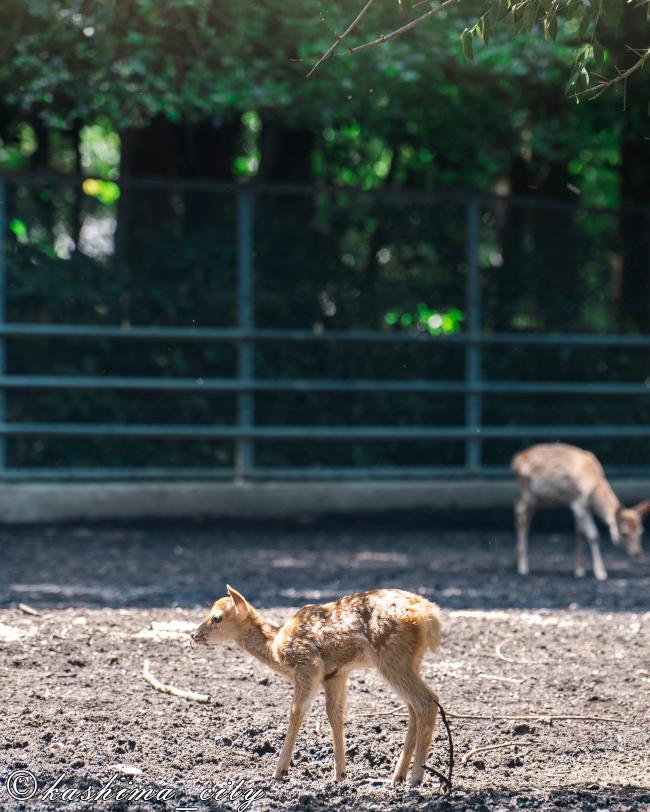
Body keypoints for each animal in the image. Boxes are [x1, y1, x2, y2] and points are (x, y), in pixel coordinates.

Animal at [191, 585, 442, 786]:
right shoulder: (336, 674)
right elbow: (335, 714)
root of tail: (429, 616)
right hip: (409, 660)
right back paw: (397, 776)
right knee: (414, 707)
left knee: (427, 702)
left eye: (217, 618)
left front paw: (279, 771)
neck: (277, 647)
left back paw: (415, 779)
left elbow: (296, 712)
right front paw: (340, 775)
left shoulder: (307, 664)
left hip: (392, 656)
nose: (194, 634)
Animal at [512, 443, 649, 581]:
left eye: (641, 531)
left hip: (539, 500)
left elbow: (580, 533)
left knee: (525, 515)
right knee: (519, 510)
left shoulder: (577, 507)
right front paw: (600, 573)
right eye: (624, 533)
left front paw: (579, 570)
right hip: (529, 494)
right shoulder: (579, 504)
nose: (637, 553)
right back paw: (523, 567)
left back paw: (517, 561)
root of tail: (516, 461)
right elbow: (593, 535)